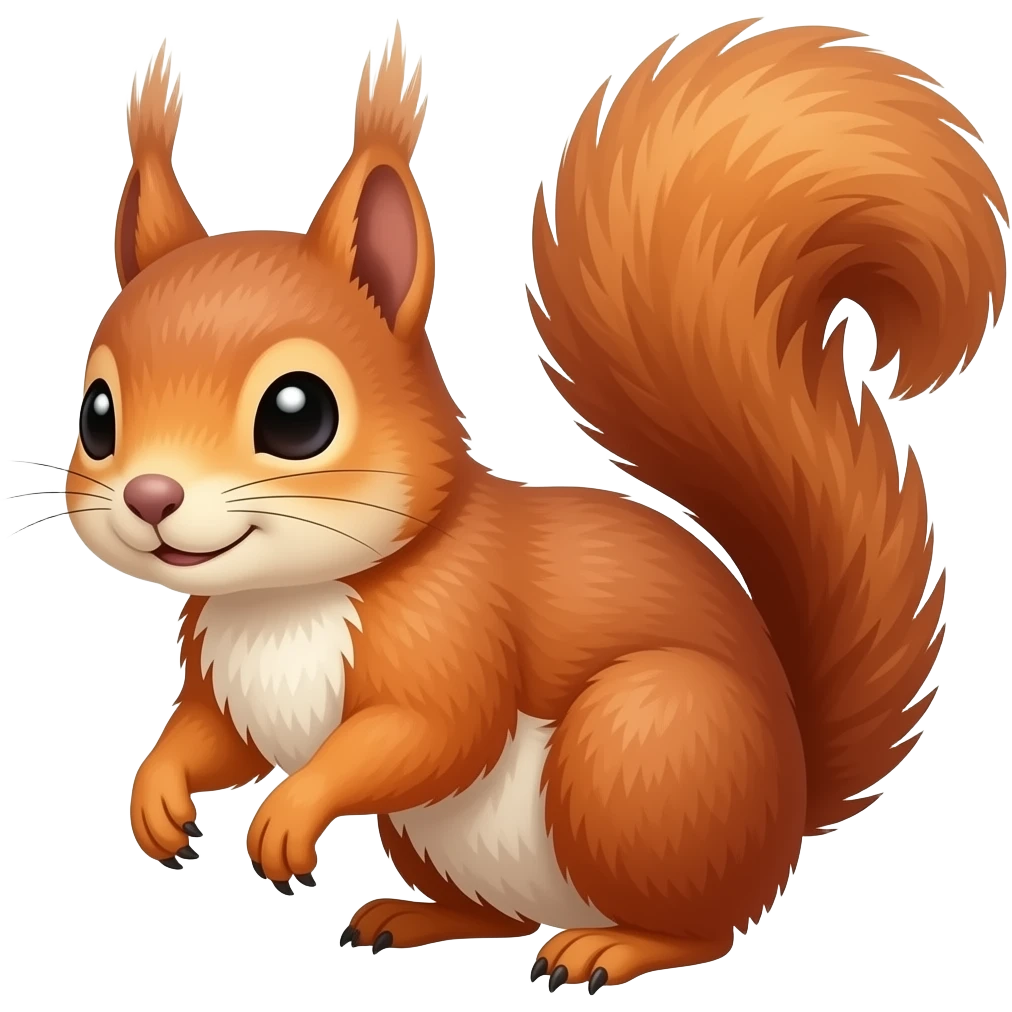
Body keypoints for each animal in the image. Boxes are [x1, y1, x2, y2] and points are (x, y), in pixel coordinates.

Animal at [62, 18, 1005, 992]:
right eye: (97, 414)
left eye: (298, 414)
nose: (151, 497)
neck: (283, 601)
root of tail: (789, 804)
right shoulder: (224, 679)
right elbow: (213, 738)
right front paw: (155, 795)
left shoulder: (456, 631)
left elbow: (430, 735)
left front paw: (289, 812)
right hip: (446, 834)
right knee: (498, 916)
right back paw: (414, 917)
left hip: (646, 746)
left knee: (709, 926)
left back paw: (612, 947)